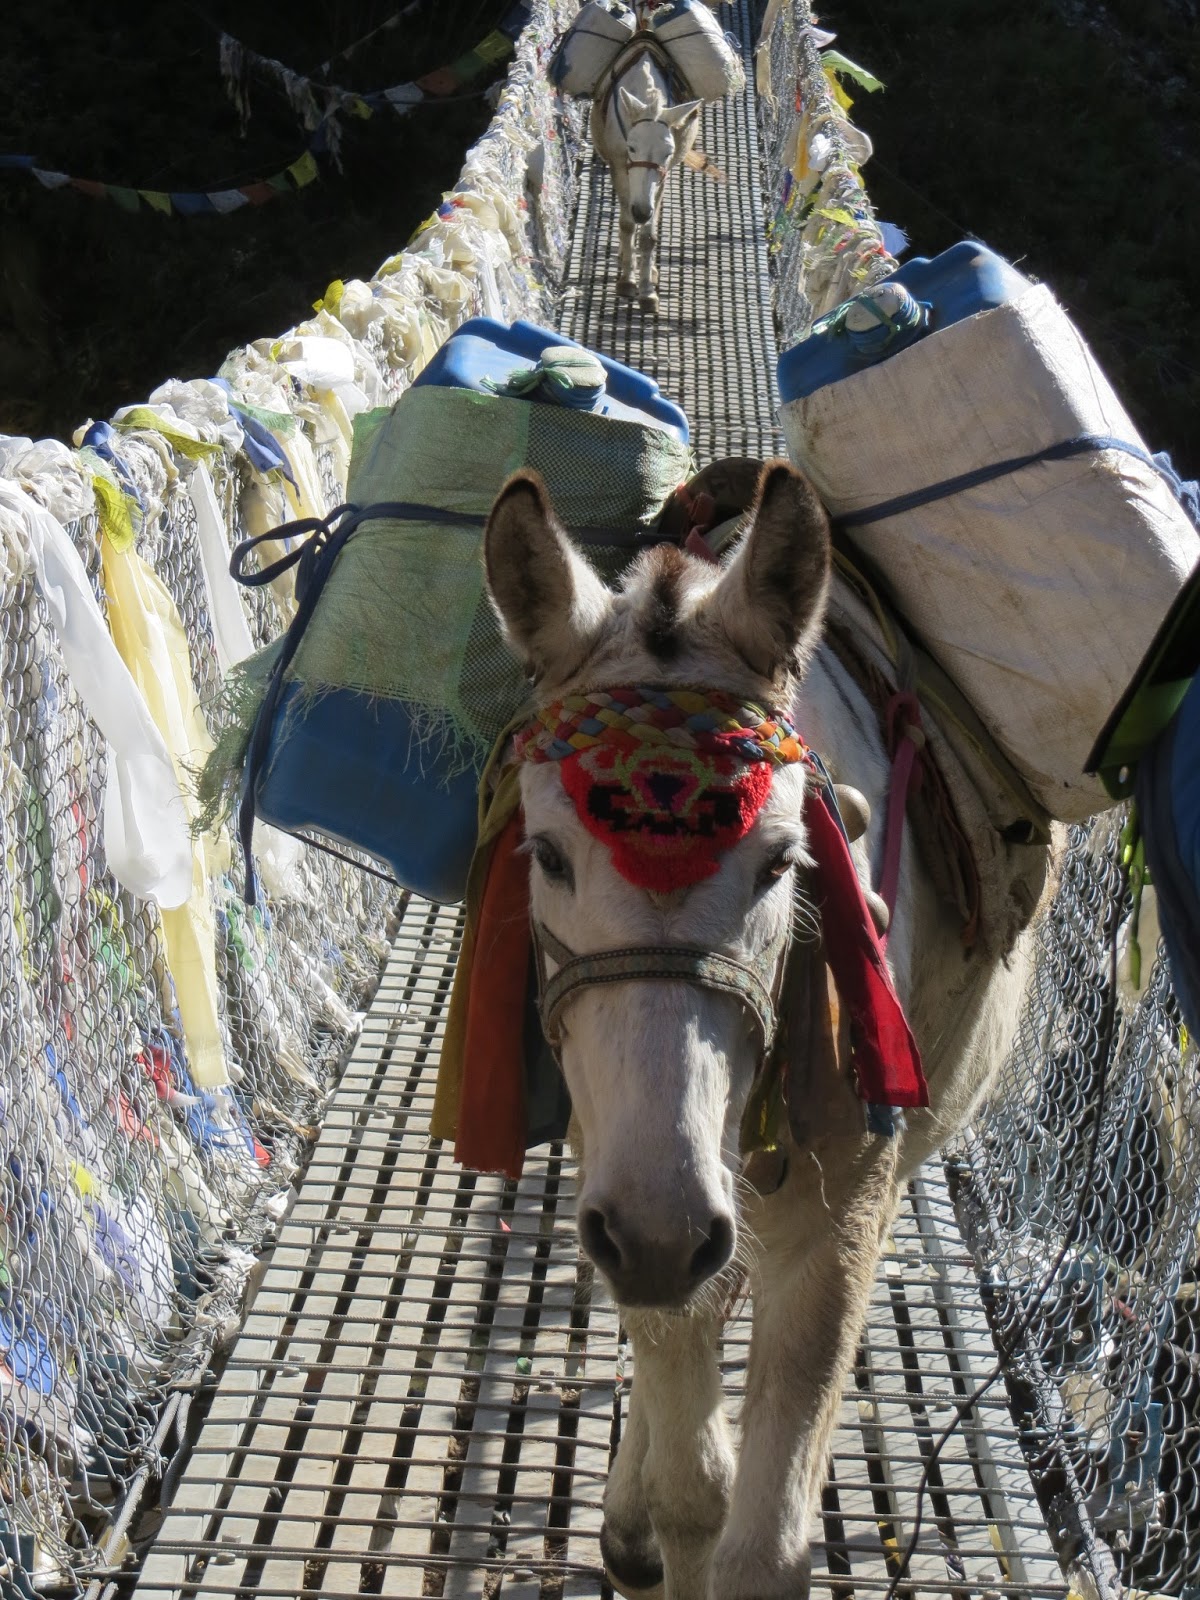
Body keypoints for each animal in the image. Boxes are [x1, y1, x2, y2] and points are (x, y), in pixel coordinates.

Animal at [482, 455, 1057, 1599]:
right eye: (548, 856)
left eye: (784, 862)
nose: (661, 1233)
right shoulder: (623, 1169)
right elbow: (693, 1491)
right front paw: (651, 1510)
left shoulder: (835, 1227)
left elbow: (765, 1546)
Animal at [592, 40, 702, 313]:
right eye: (631, 147)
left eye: (668, 152)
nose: (642, 211)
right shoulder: (619, 166)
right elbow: (627, 224)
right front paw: (627, 281)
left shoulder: (664, 173)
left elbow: (649, 236)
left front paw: (647, 291)